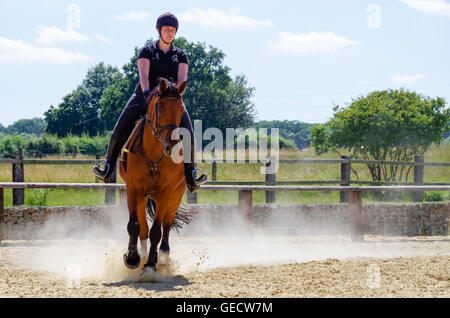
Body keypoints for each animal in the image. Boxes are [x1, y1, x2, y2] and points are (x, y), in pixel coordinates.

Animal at [119, 77, 195, 280]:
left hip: (175, 196)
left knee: (166, 225)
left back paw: (163, 258)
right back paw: (144, 255)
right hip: (142, 197)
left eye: (181, 110)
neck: (154, 154)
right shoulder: (133, 189)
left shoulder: (166, 194)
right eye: (159, 108)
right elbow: (134, 226)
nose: (172, 146)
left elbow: (156, 231)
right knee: (143, 228)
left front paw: (150, 267)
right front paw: (133, 258)